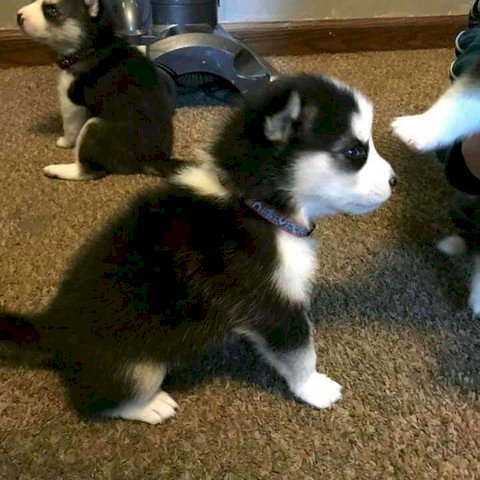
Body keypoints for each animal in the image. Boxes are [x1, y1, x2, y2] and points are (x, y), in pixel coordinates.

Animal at [0, 74, 396, 424]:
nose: (394, 180)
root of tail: (53, 325)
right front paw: (314, 388)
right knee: (101, 401)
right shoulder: (270, 302)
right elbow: (300, 352)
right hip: (138, 368)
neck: (253, 204)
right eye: (354, 151)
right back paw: (148, 406)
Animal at [18, 0, 178, 180]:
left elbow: (70, 127)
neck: (92, 47)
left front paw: (65, 142)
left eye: (51, 10)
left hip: (94, 128)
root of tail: (153, 160)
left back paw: (56, 169)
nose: (18, 16)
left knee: (90, 171)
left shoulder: (71, 103)